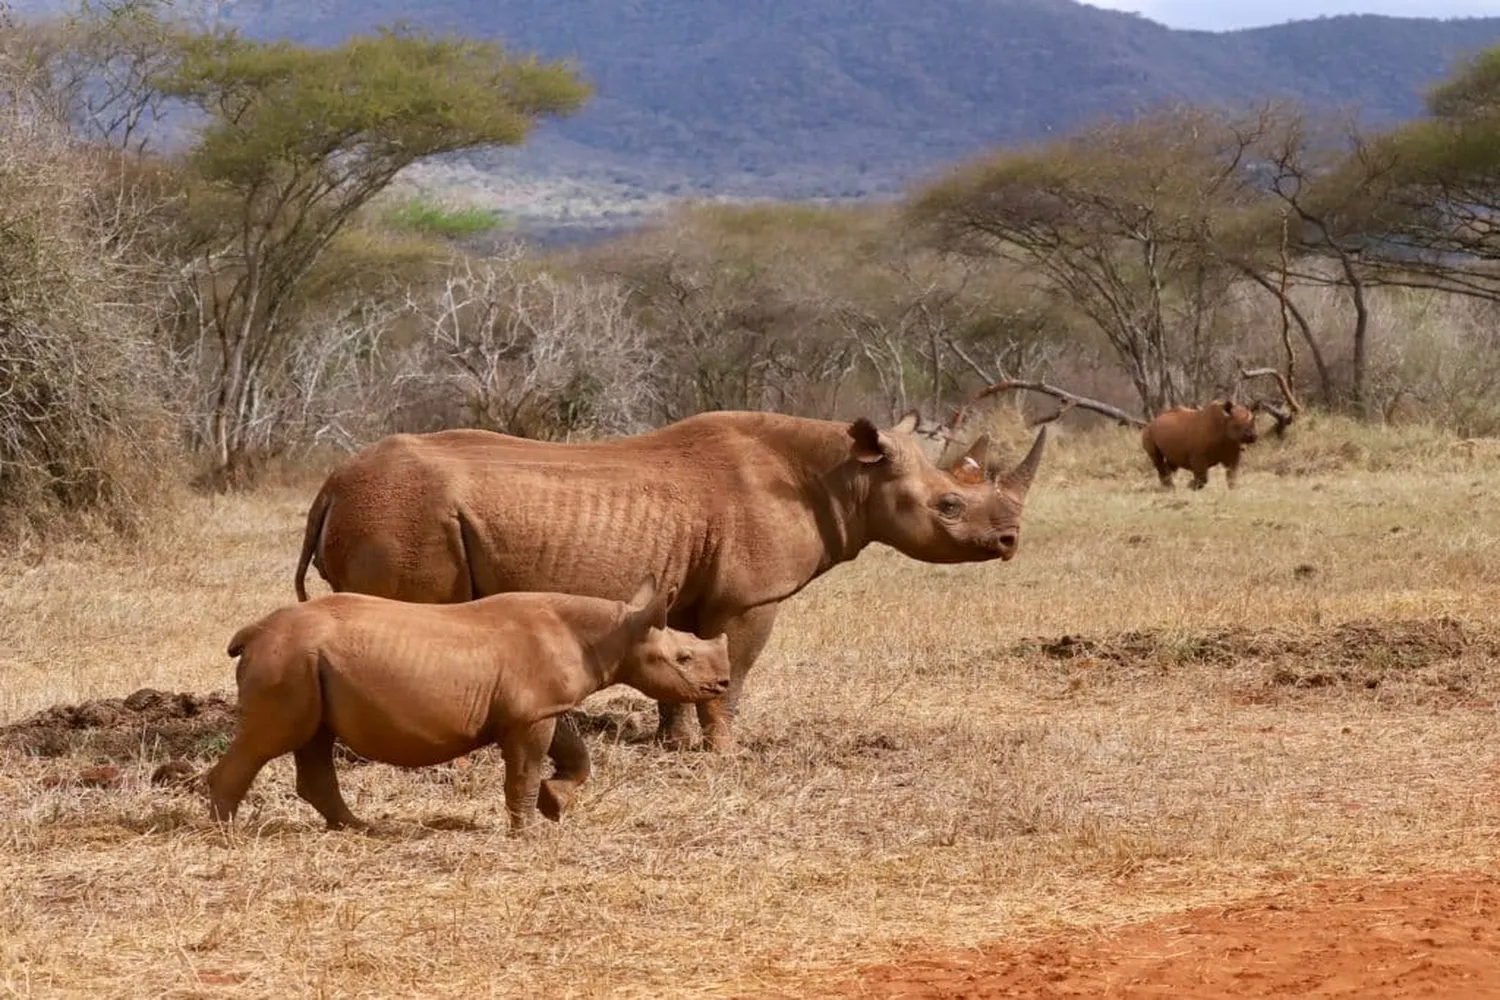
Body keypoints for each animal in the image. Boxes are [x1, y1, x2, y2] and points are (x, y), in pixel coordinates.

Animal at [205, 576, 730, 833]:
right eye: (683, 658)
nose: (723, 684)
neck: (614, 632)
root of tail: (254, 632)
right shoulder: (530, 715)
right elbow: (524, 771)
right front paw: (530, 832)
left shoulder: (540, 707)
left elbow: (574, 753)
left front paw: (555, 805)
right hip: (289, 660)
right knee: (270, 740)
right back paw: (229, 837)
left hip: (304, 661)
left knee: (313, 740)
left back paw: (359, 829)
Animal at [293, 410, 1047, 752]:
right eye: (949, 507)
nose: (1011, 542)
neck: (846, 475)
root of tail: (329, 485)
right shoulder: (749, 597)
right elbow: (735, 668)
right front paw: (724, 752)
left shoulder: (690, 588)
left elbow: (684, 667)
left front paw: (673, 745)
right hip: (405, 514)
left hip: (389, 509)